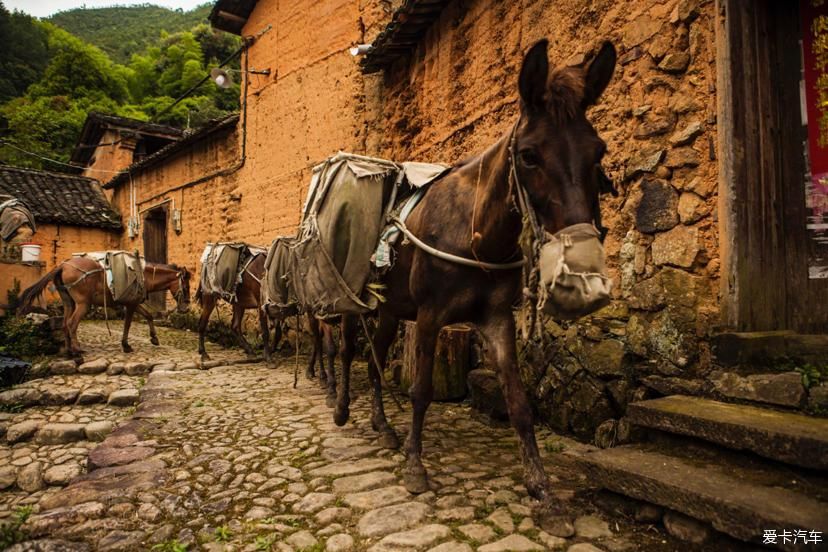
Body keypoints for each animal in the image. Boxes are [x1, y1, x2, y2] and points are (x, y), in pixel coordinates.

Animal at [18, 256, 190, 356]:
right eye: (186, 286)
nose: (186, 308)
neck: (142, 276)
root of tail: (63, 266)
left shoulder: (133, 303)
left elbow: (148, 316)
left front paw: (154, 338)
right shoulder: (131, 304)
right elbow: (128, 324)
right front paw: (126, 345)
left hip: (69, 303)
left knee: (65, 324)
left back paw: (68, 351)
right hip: (83, 304)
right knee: (72, 323)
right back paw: (77, 351)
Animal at [330, 40, 616, 500]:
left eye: (599, 152)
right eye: (529, 155)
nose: (582, 275)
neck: (475, 232)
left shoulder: (496, 319)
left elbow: (518, 401)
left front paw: (540, 486)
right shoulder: (429, 318)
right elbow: (421, 391)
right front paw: (415, 466)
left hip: (389, 310)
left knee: (374, 361)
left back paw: (382, 425)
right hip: (352, 301)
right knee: (345, 350)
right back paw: (341, 410)